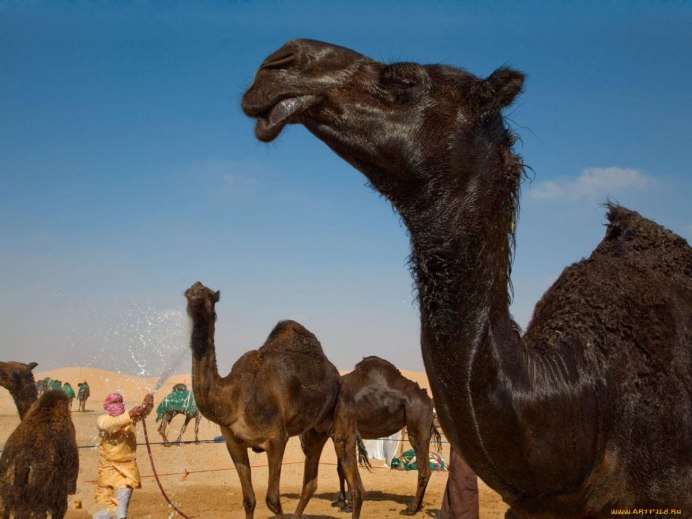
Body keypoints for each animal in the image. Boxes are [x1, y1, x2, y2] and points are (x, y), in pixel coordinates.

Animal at [184, 281, 364, 519]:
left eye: (207, 295)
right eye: (188, 293)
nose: (193, 298)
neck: (234, 397)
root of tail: (339, 378)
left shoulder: (276, 439)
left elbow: (272, 500)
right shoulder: (234, 443)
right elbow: (249, 500)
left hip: (344, 413)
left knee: (356, 485)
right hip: (314, 432)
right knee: (310, 482)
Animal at [333, 356, 442, 515]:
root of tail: (429, 400)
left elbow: (344, 468)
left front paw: (347, 505)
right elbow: (341, 468)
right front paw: (342, 502)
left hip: (417, 428)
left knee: (424, 470)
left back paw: (411, 509)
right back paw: (418, 506)